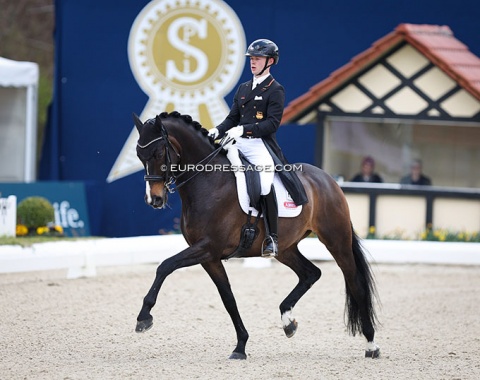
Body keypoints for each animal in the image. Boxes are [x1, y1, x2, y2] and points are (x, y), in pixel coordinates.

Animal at [133, 110, 380, 360]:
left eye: (159, 153)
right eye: (139, 155)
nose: (154, 199)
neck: (209, 183)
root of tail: (328, 179)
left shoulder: (208, 247)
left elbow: (165, 265)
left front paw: (144, 317)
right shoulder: (210, 257)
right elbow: (228, 298)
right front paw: (240, 346)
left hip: (336, 239)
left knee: (355, 283)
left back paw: (371, 345)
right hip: (286, 248)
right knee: (311, 273)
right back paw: (288, 322)